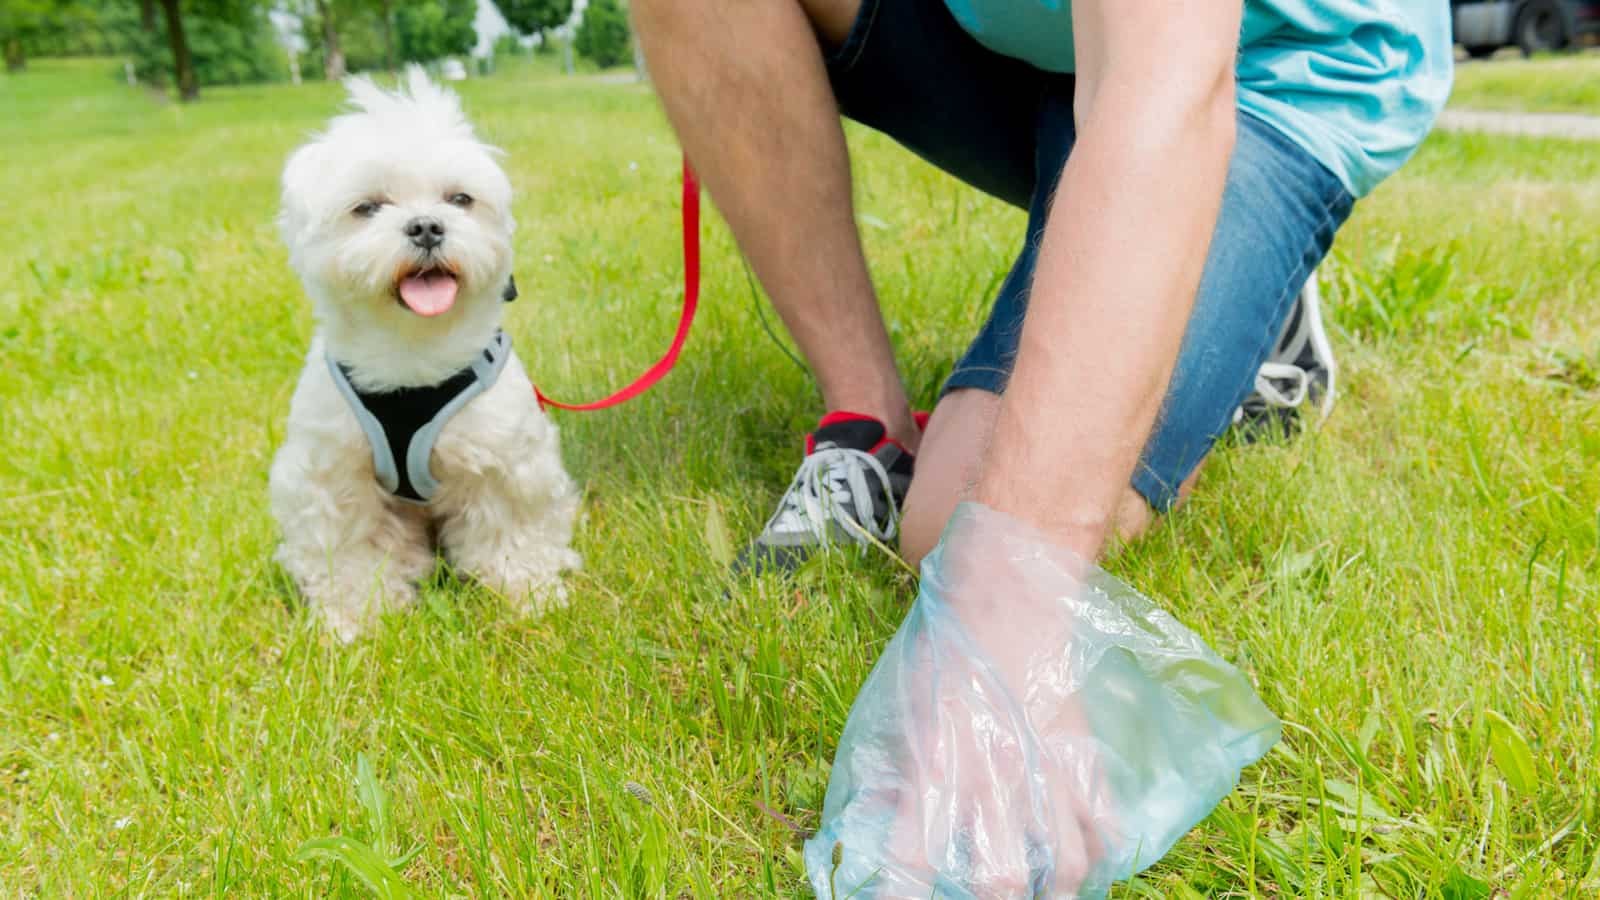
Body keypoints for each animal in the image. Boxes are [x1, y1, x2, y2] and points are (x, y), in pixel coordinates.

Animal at [270, 68, 582, 637]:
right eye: (367, 207)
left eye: (459, 199)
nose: (426, 226)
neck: (411, 355)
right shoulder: (331, 474)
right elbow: (349, 551)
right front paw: (354, 618)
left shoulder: (505, 459)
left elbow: (513, 532)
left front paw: (530, 594)